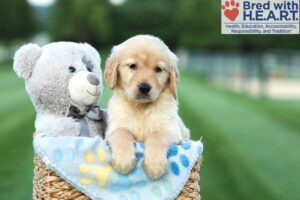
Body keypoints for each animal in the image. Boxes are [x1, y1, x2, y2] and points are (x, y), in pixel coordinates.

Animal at [104, 34, 189, 180]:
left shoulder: (172, 131)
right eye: (132, 66)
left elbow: (157, 135)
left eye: (158, 69)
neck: (141, 108)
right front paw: (123, 160)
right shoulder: (113, 128)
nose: (144, 87)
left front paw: (155, 165)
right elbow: (122, 132)